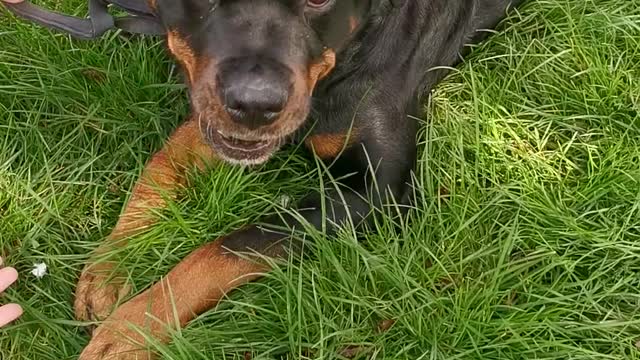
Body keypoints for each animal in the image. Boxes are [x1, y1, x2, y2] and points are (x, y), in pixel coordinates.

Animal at [67, 1, 524, 358]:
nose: (254, 104)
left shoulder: (378, 190)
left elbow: (235, 244)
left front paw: (131, 330)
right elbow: (163, 164)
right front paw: (112, 267)